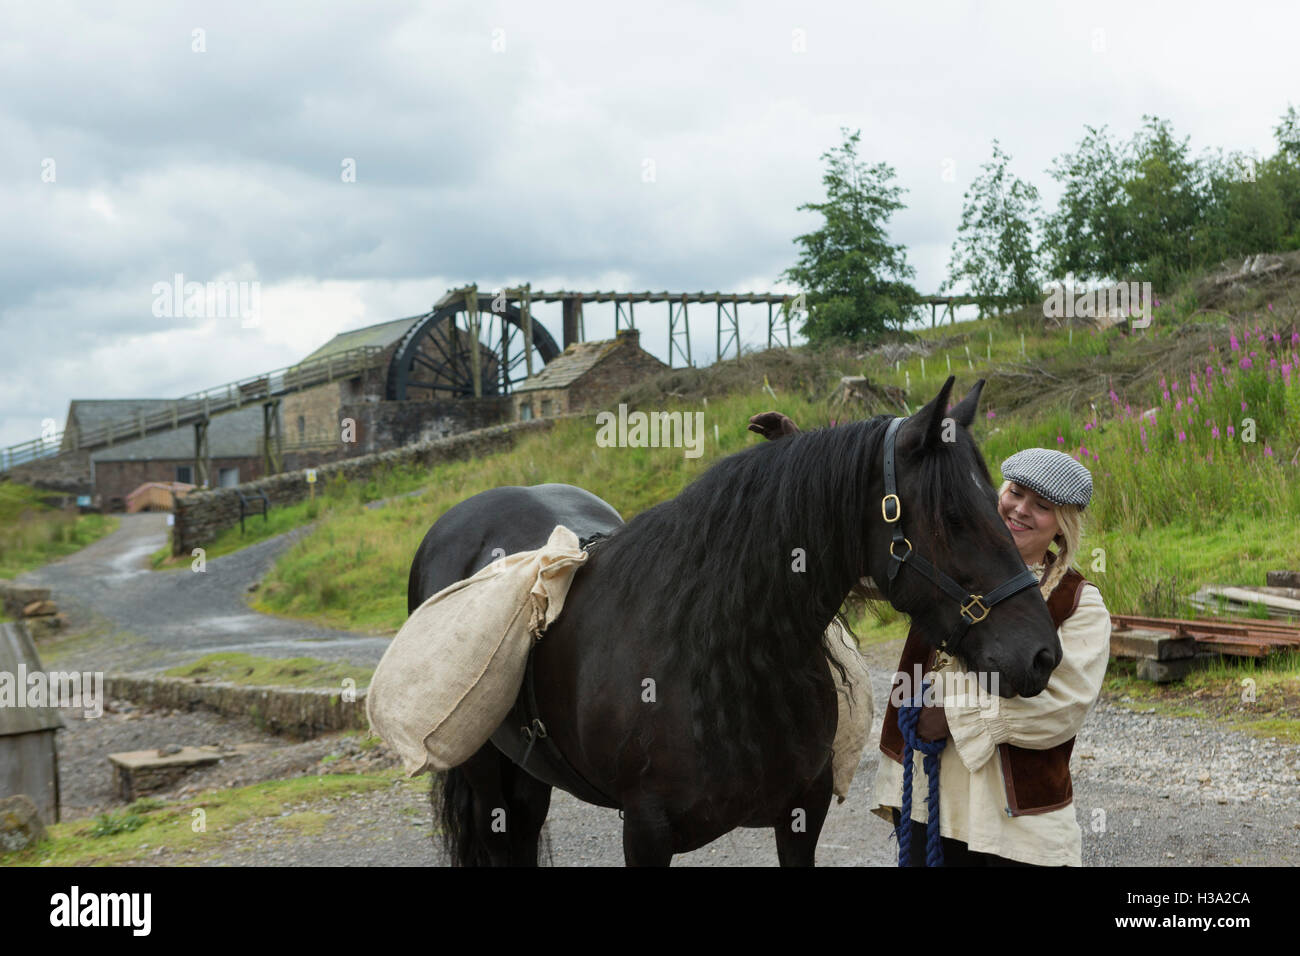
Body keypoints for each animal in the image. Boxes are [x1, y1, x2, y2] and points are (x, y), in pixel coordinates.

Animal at [408, 379, 1066, 868]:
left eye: (1002, 508)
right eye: (954, 516)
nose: (1042, 655)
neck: (722, 659)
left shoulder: (801, 817)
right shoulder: (645, 832)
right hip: (485, 775)